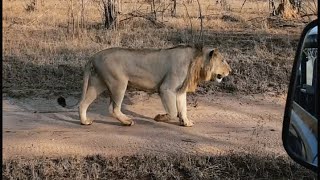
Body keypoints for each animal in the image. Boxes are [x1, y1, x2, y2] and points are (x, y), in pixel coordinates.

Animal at [57, 44, 231, 126]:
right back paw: (127, 122)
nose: (231, 70)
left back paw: (84, 121)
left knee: (83, 104)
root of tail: (94, 56)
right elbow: (173, 111)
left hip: (97, 84)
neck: (197, 60)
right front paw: (160, 117)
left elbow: (182, 108)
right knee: (113, 108)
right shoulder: (166, 88)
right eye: (223, 60)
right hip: (119, 83)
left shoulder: (180, 91)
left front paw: (186, 122)